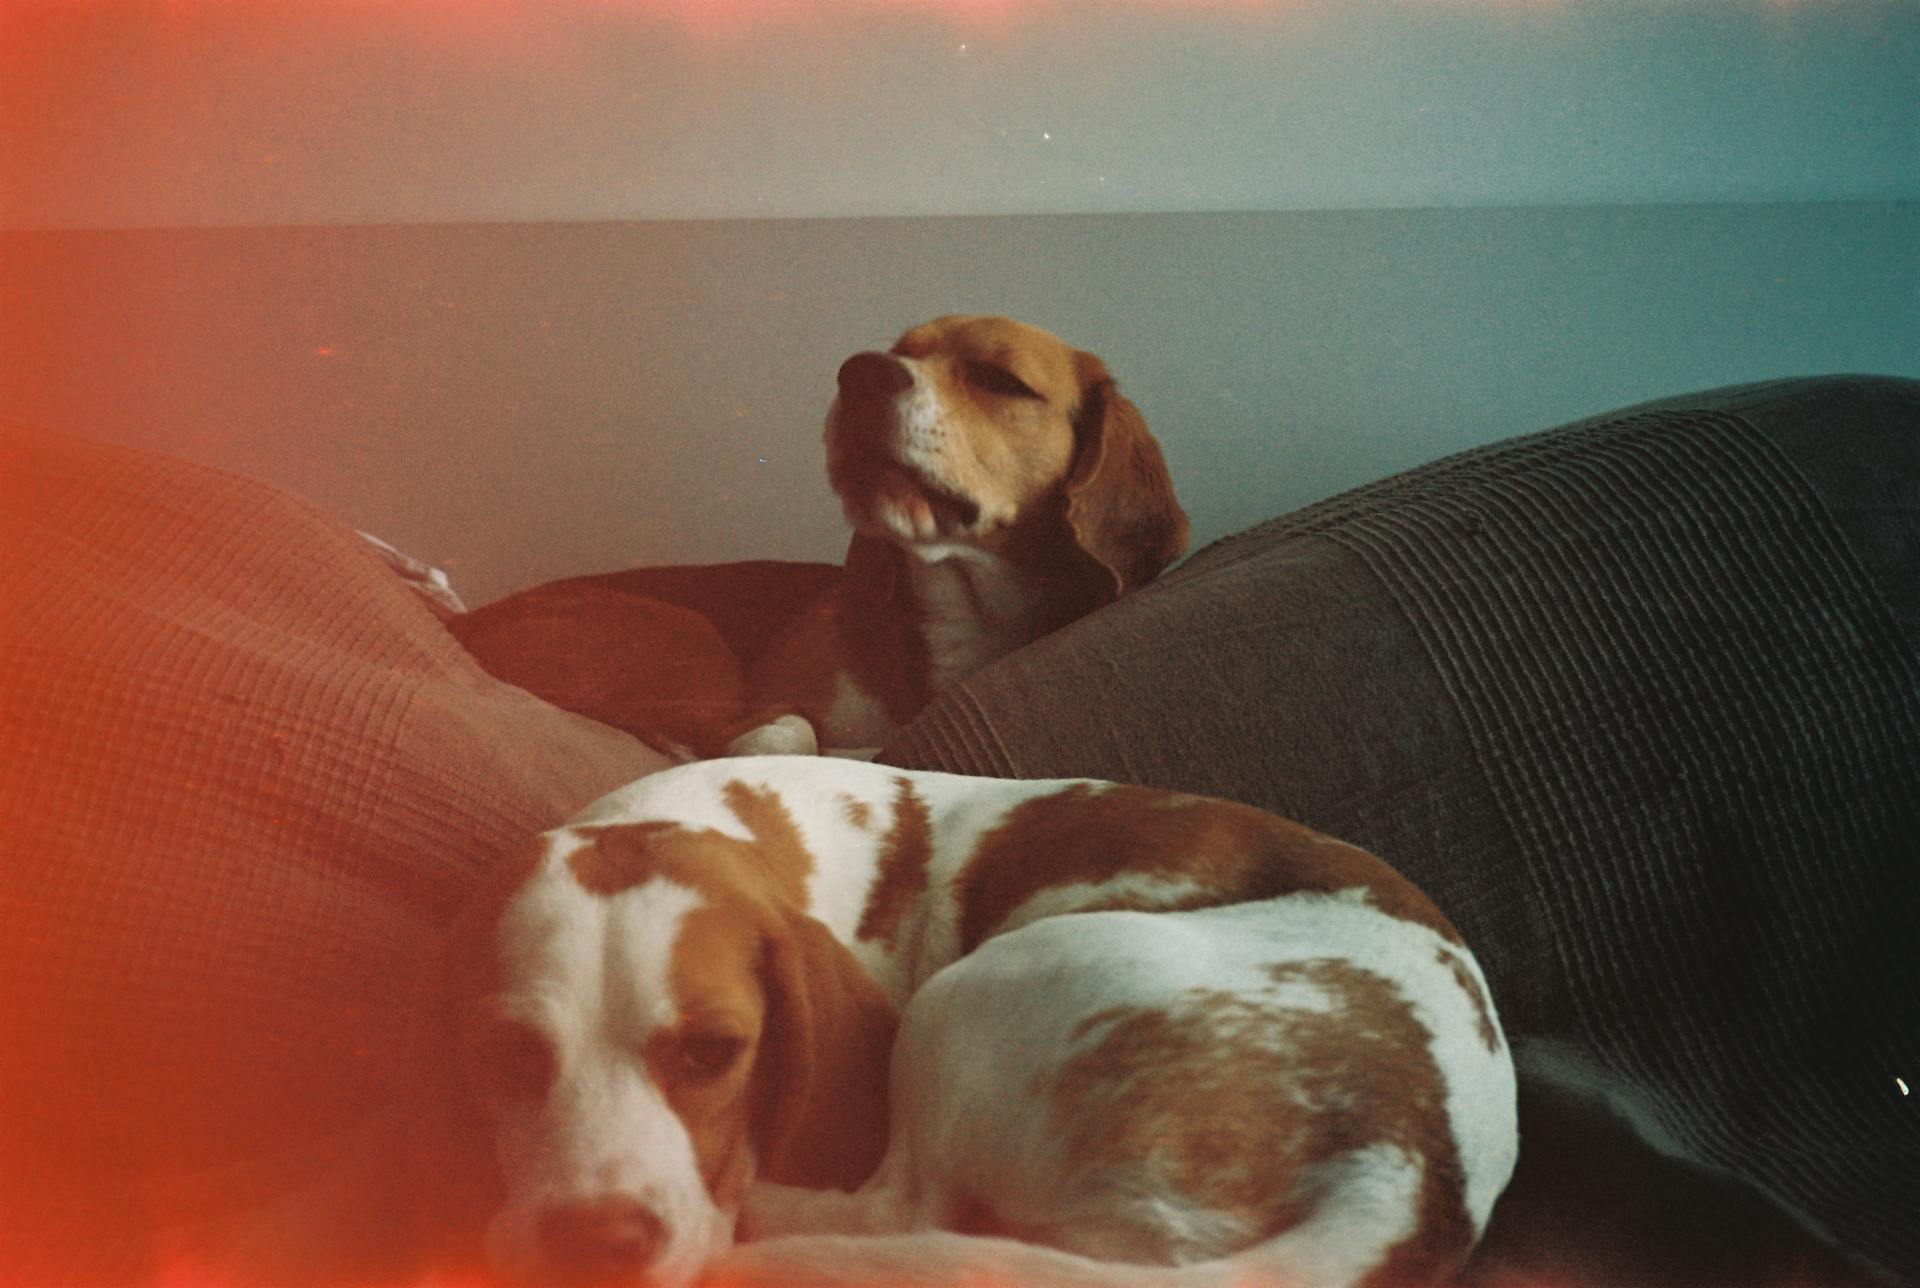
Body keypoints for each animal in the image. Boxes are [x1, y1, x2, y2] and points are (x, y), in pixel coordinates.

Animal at [441, 756, 1520, 1288]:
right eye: (501, 1056)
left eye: (712, 1053)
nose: (593, 1242)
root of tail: (1408, 1165)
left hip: (970, 999)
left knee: (903, 1211)